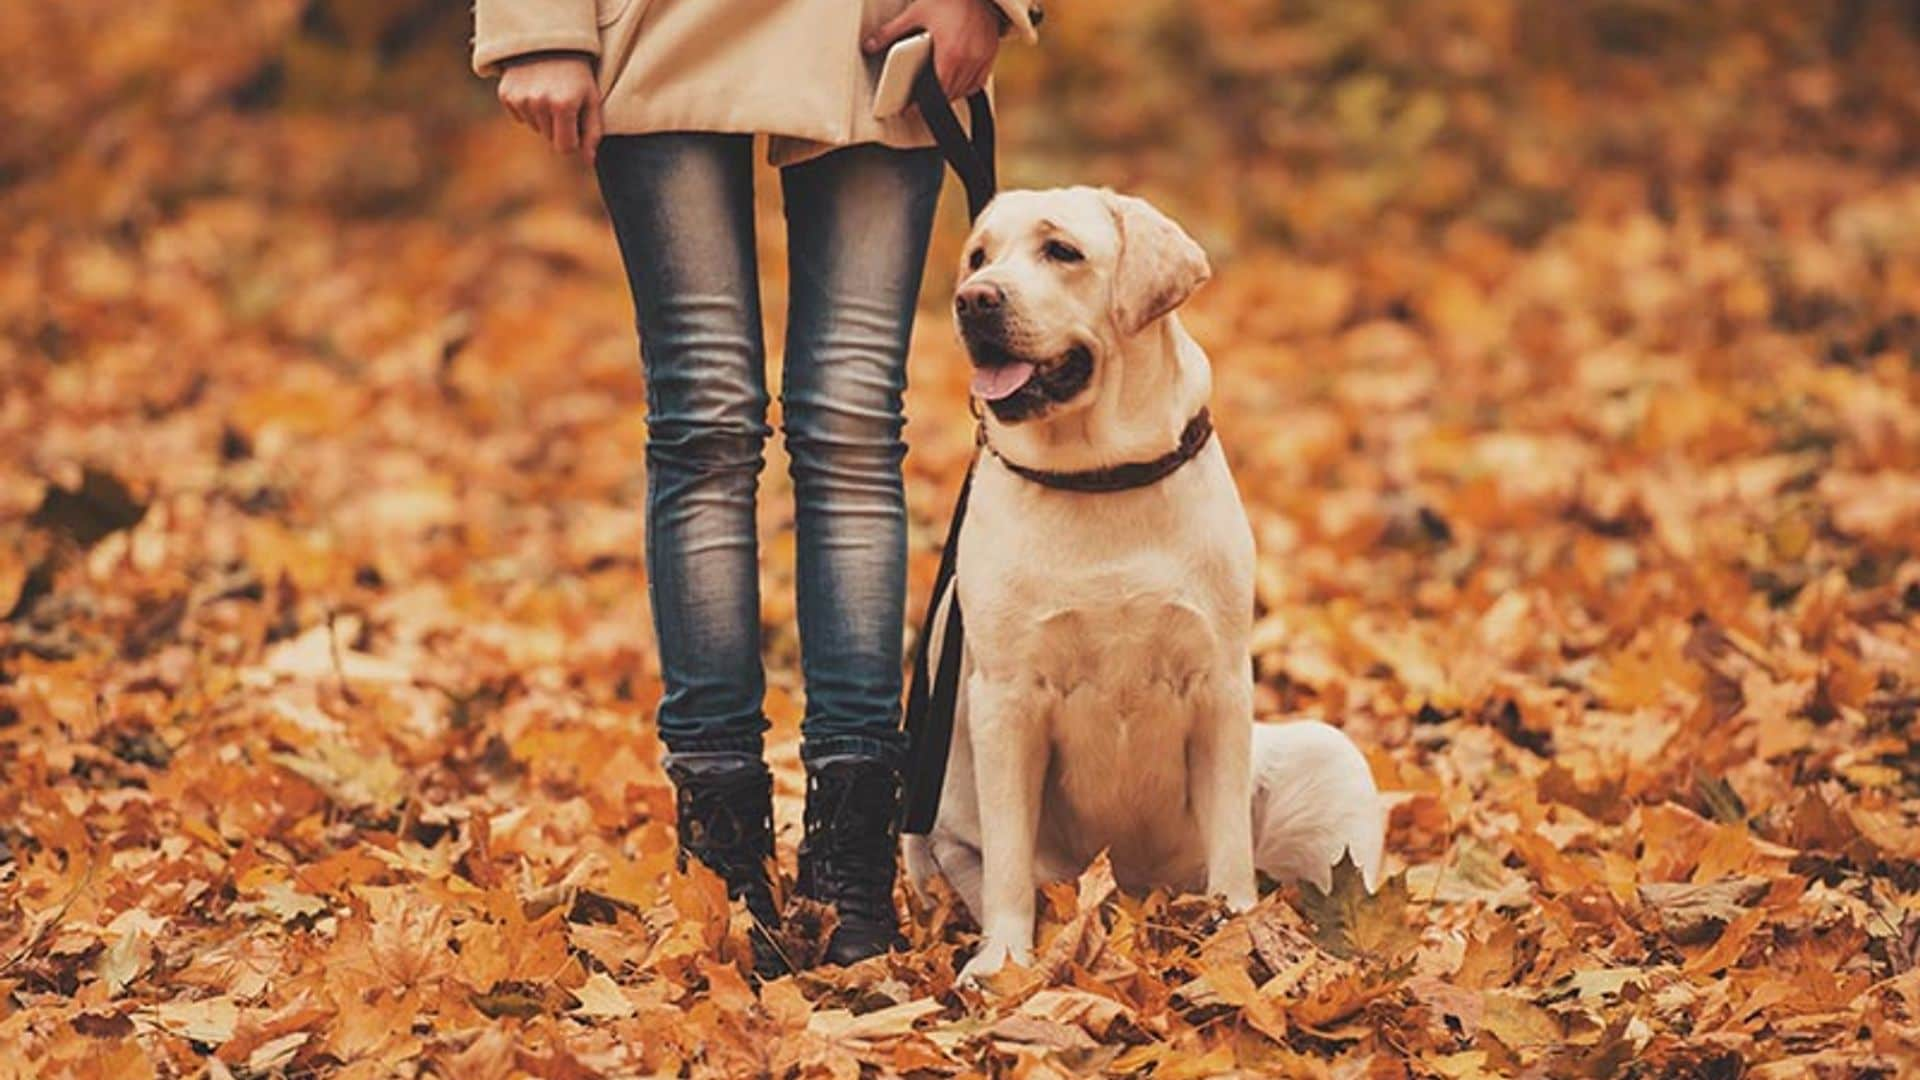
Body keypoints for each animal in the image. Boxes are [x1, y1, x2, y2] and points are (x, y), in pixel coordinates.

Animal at [906, 189, 1390, 980]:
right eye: (979, 257)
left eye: (1061, 252)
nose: (973, 300)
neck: (1098, 476)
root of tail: (1137, 895)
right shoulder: (1005, 699)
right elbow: (1008, 860)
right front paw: (1002, 963)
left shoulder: (1221, 682)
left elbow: (1230, 845)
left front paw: (1238, 933)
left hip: (1329, 760)